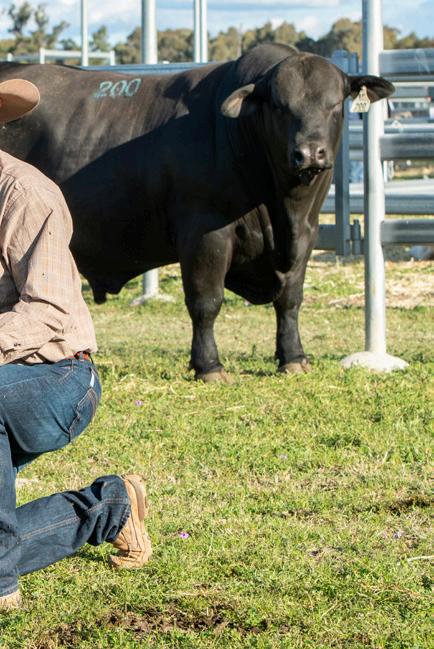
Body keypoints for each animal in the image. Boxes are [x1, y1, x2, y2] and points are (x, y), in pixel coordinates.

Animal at [0, 44, 394, 382]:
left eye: (335, 104)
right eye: (280, 106)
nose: (310, 152)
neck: (283, 211)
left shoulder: (307, 235)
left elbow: (290, 299)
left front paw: (293, 358)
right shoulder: (205, 233)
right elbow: (206, 302)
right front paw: (209, 366)